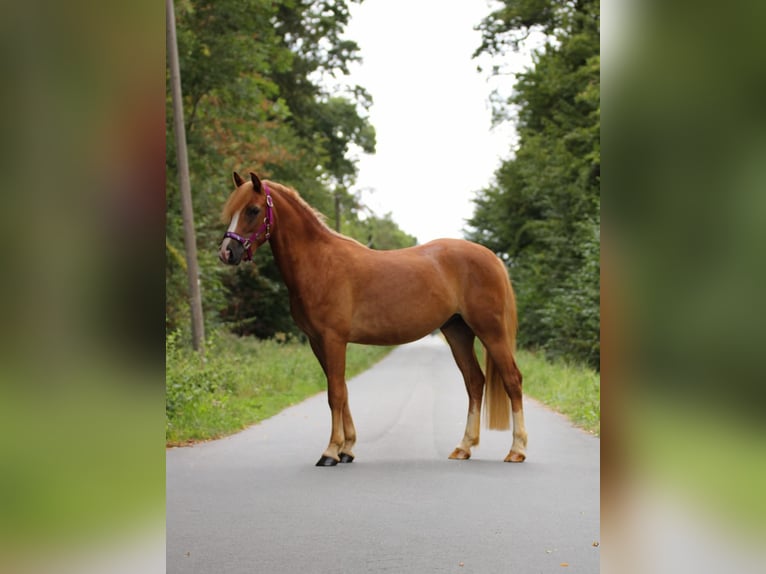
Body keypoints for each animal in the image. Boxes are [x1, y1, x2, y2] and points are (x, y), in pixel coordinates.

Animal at [218, 172, 527, 466]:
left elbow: (335, 394)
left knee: (512, 380)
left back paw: (517, 450)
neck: (320, 262)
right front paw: (347, 450)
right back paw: (463, 447)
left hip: (491, 331)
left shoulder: (333, 339)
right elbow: (342, 390)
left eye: (253, 210)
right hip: (457, 331)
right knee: (474, 381)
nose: (226, 252)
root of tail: (492, 257)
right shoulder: (318, 342)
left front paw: (330, 452)